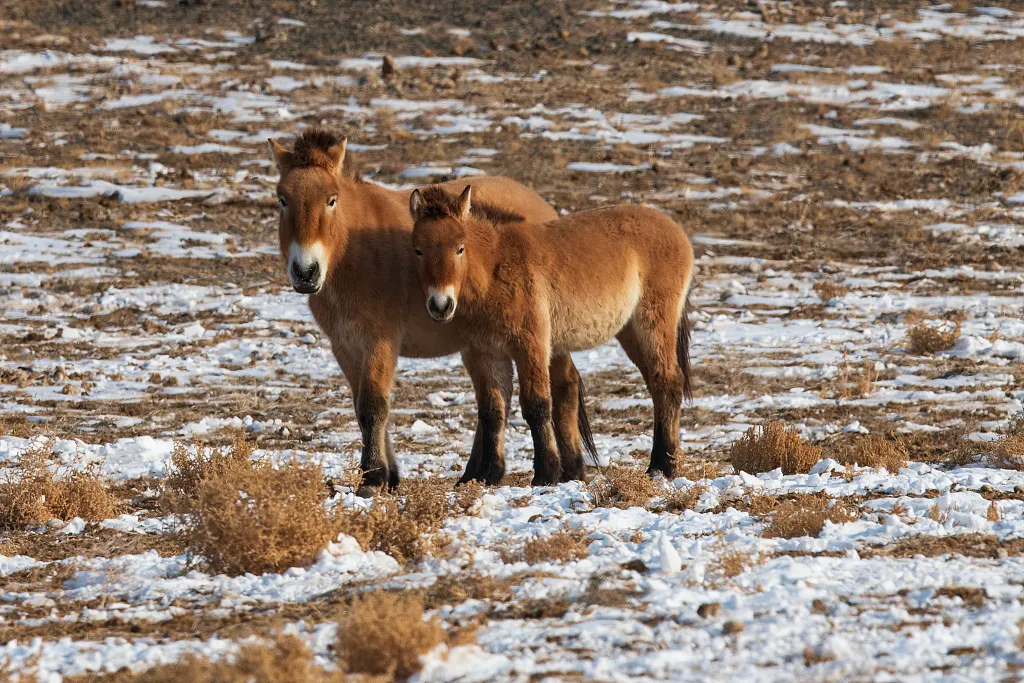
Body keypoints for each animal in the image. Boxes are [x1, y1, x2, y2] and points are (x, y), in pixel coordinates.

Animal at [269, 129, 595, 490]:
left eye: (331, 199)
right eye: (282, 199)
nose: (305, 272)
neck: (355, 252)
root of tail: (543, 208)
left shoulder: (380, 342)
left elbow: (372, 407)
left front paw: (374, 477)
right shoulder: (345, 346)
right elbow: (361, 407)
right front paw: (387, 476)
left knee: (563, 385)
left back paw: (569, 469)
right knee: (498, 399)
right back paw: (478, 473)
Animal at [409, 184, 694, 482]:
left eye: (460, 249)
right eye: (418, 251)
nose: (440, 305)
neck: (495, 268)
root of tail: (675, 229)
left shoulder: (531, 346)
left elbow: (536, 405)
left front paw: (546, 473)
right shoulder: (486, 354)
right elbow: (493, 411)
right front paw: (491, 475)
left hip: (653, 324)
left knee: (668, 382)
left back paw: (663, 466)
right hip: (630, 332)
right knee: (659, 385)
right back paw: (662, 462)